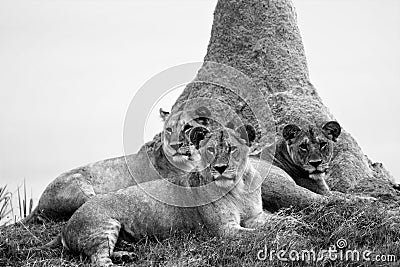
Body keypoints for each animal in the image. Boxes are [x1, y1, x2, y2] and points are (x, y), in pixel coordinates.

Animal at [52, 126, 268, 266]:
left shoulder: (255, 216)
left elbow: (270, 224)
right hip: (103, 227)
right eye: (211, 149)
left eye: (232, 149)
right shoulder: (224, 230)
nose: (220, 168)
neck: (239, 187)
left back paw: (125, 255)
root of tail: (66, 227)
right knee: (99, 259)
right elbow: (260, 234)